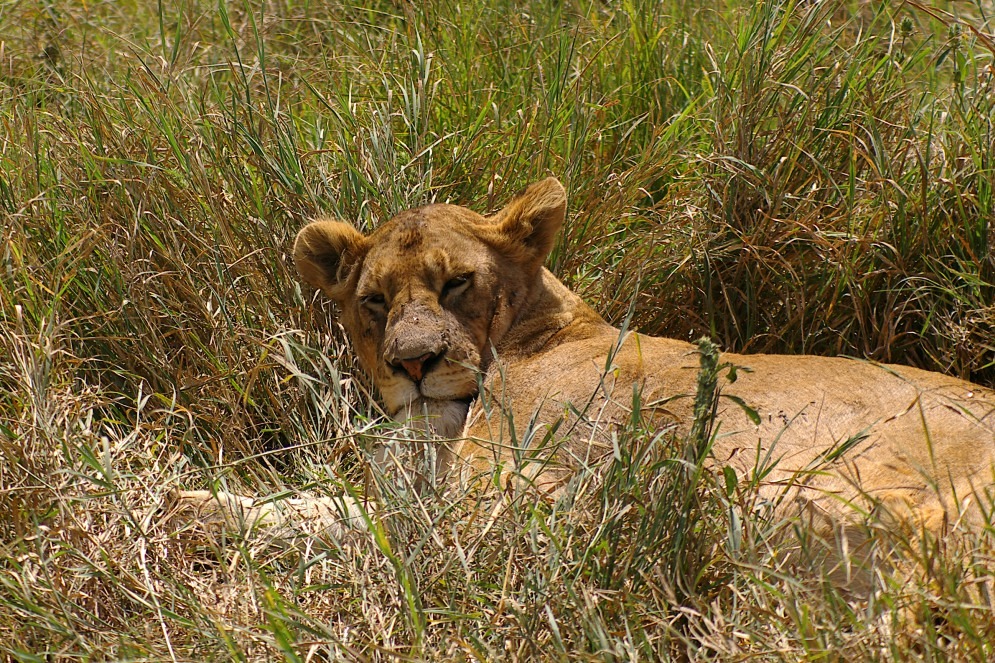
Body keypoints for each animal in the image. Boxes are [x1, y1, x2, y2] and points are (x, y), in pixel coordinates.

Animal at [179, 175, 995, 556]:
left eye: (457, 282)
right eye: (374, 300)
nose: (415, 364)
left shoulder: (503, 502)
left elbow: (373, 533)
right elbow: (322, 507)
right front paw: (190, 504)